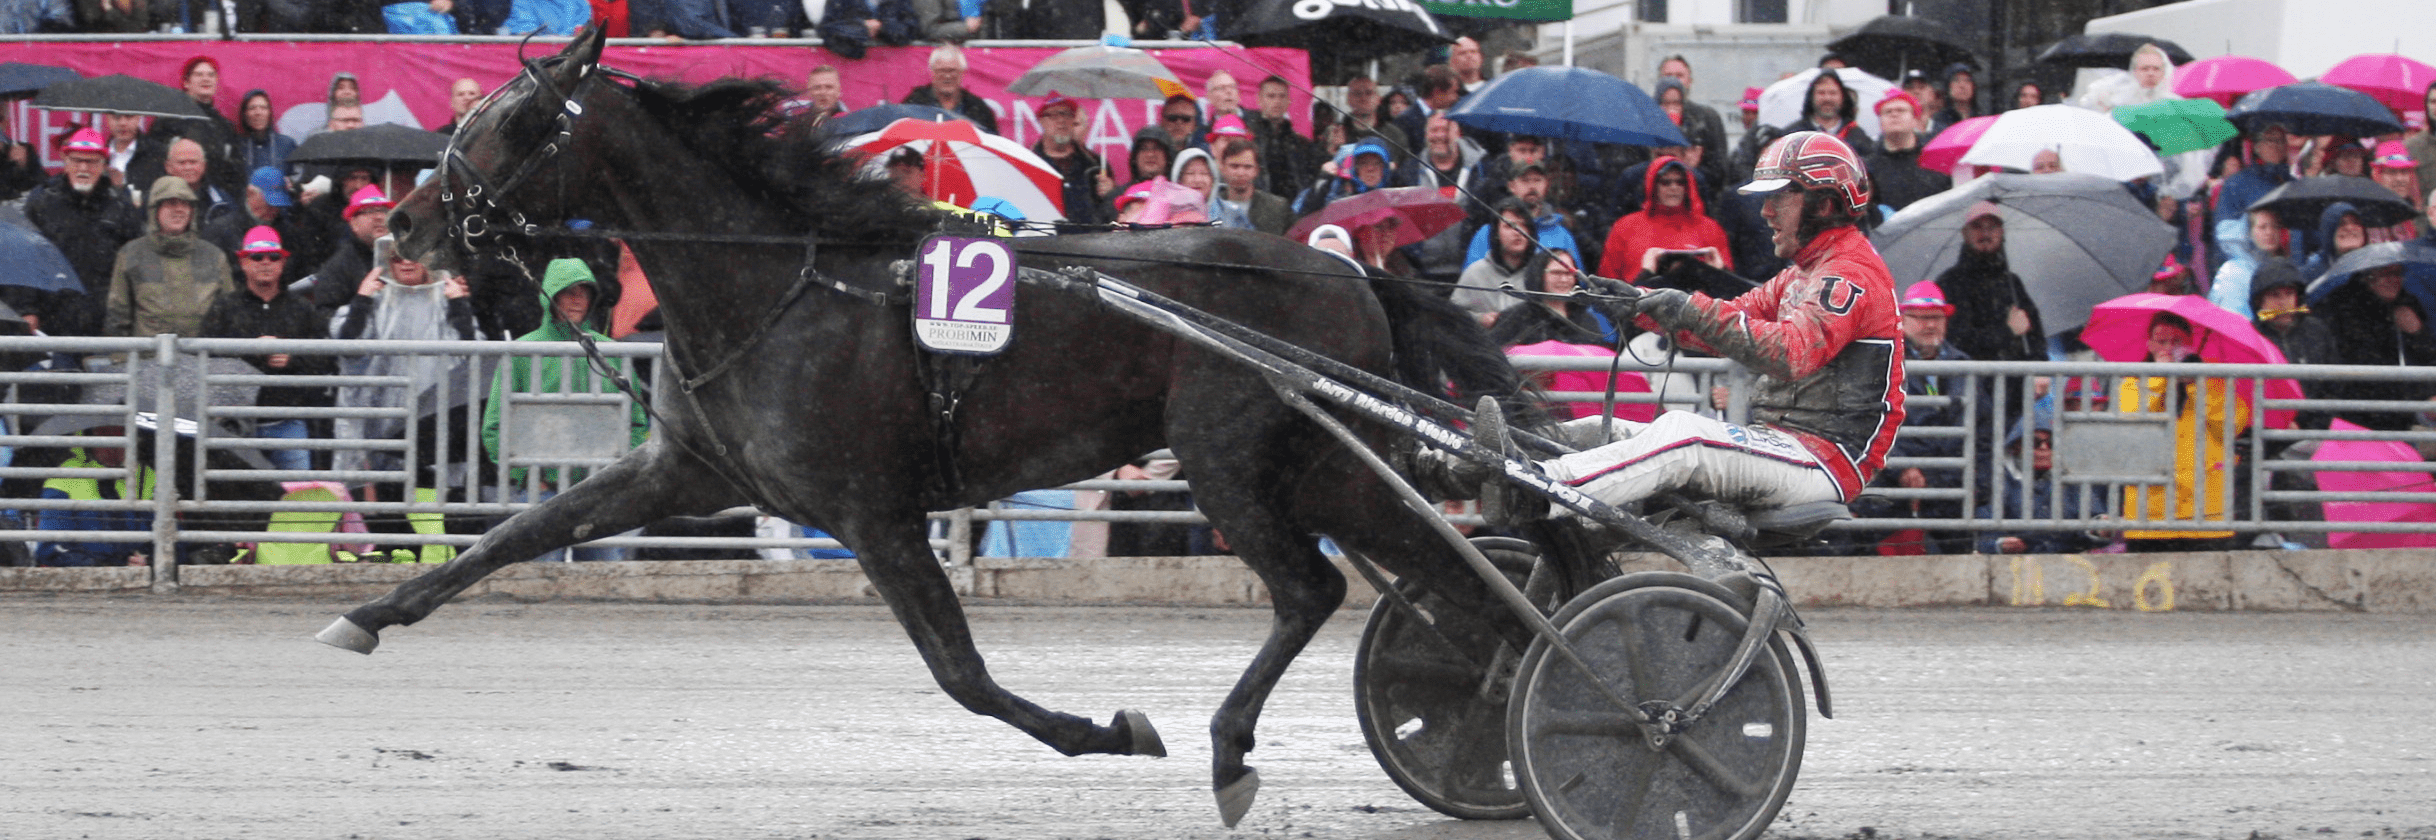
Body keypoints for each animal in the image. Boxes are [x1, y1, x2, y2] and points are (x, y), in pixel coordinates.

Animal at [324, 26, 1542, 825]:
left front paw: (1108, 730)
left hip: (1232, 457)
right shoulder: (686, 472)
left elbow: (960, 674)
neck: (786, 284)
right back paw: (1504, 701)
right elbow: (513, 535)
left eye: (517, 124)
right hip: (1328, 465)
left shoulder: (873, 511)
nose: (406, 225)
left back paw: (1238, 748)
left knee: (1314, 589)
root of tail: (1353, 271)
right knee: (1444, 573)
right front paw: (369, 614)